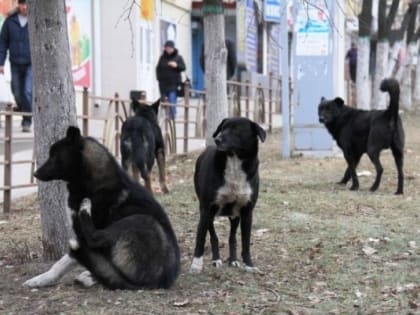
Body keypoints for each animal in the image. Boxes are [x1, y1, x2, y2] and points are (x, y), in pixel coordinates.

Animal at [23, 127, 180, 290]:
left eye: (54, 156)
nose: (35, 173)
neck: (96, 183)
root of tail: (158, 281)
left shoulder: (82, 236)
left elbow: (64, 260)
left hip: (141, 221)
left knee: (95, 239)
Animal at [190, 118, 266, 274]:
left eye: (237, 129)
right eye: (222, 128)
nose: (217, 139)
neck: (234, 160)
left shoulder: (247, 212)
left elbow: (245, 242)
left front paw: (249, 265)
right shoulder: (207, 209)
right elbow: (200, 238)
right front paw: (196, 265)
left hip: (235, 215)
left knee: (232, 237)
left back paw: (233, 260)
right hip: (207, 212)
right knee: (213, 236)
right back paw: (216, 259)